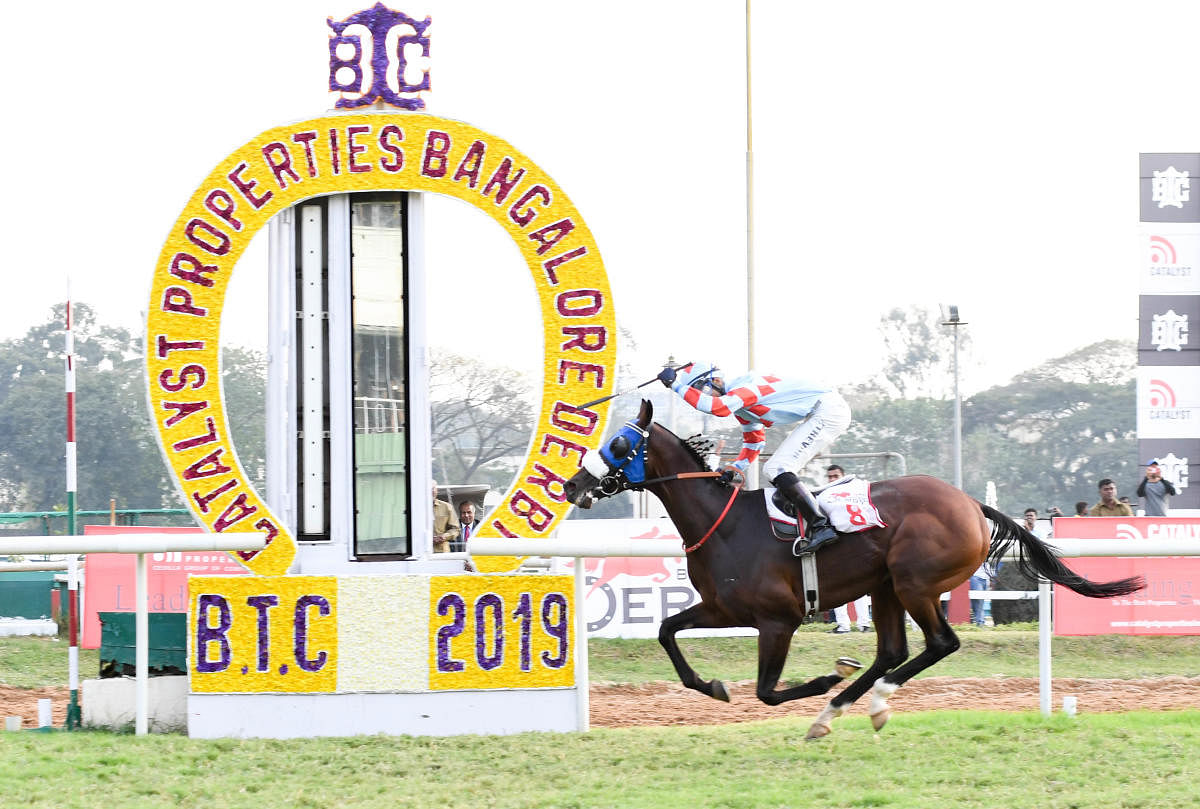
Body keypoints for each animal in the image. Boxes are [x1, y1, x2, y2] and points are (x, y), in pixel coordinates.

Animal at [561, 400, 1142, 734]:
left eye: (619, 442)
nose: (571, 485)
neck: (723, 524)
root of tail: (971, 503)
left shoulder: (778, 620)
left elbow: (766, 690)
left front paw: (819, 678)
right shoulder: (723, 608)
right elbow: (666, 630)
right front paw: (714, 687)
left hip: (914, 582)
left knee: (938, 644)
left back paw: (864, 699)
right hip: (886, 587)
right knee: (893, 651)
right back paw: (840, 709)